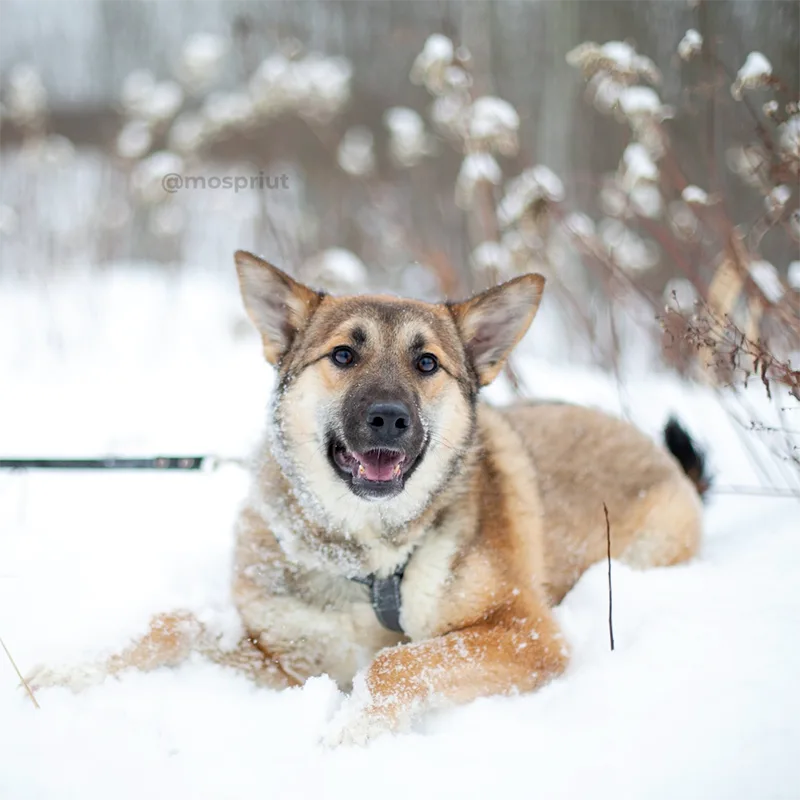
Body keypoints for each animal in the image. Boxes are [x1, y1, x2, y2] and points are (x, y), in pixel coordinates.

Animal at [28, 253, 708, 748]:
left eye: (427, 362)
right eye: (343, 355)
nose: (388, 418)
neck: (369, 557)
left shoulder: (525, 633)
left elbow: (393, 665)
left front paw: (350, 733)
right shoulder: (291, 661)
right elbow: (174, 624)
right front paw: (66, 674)